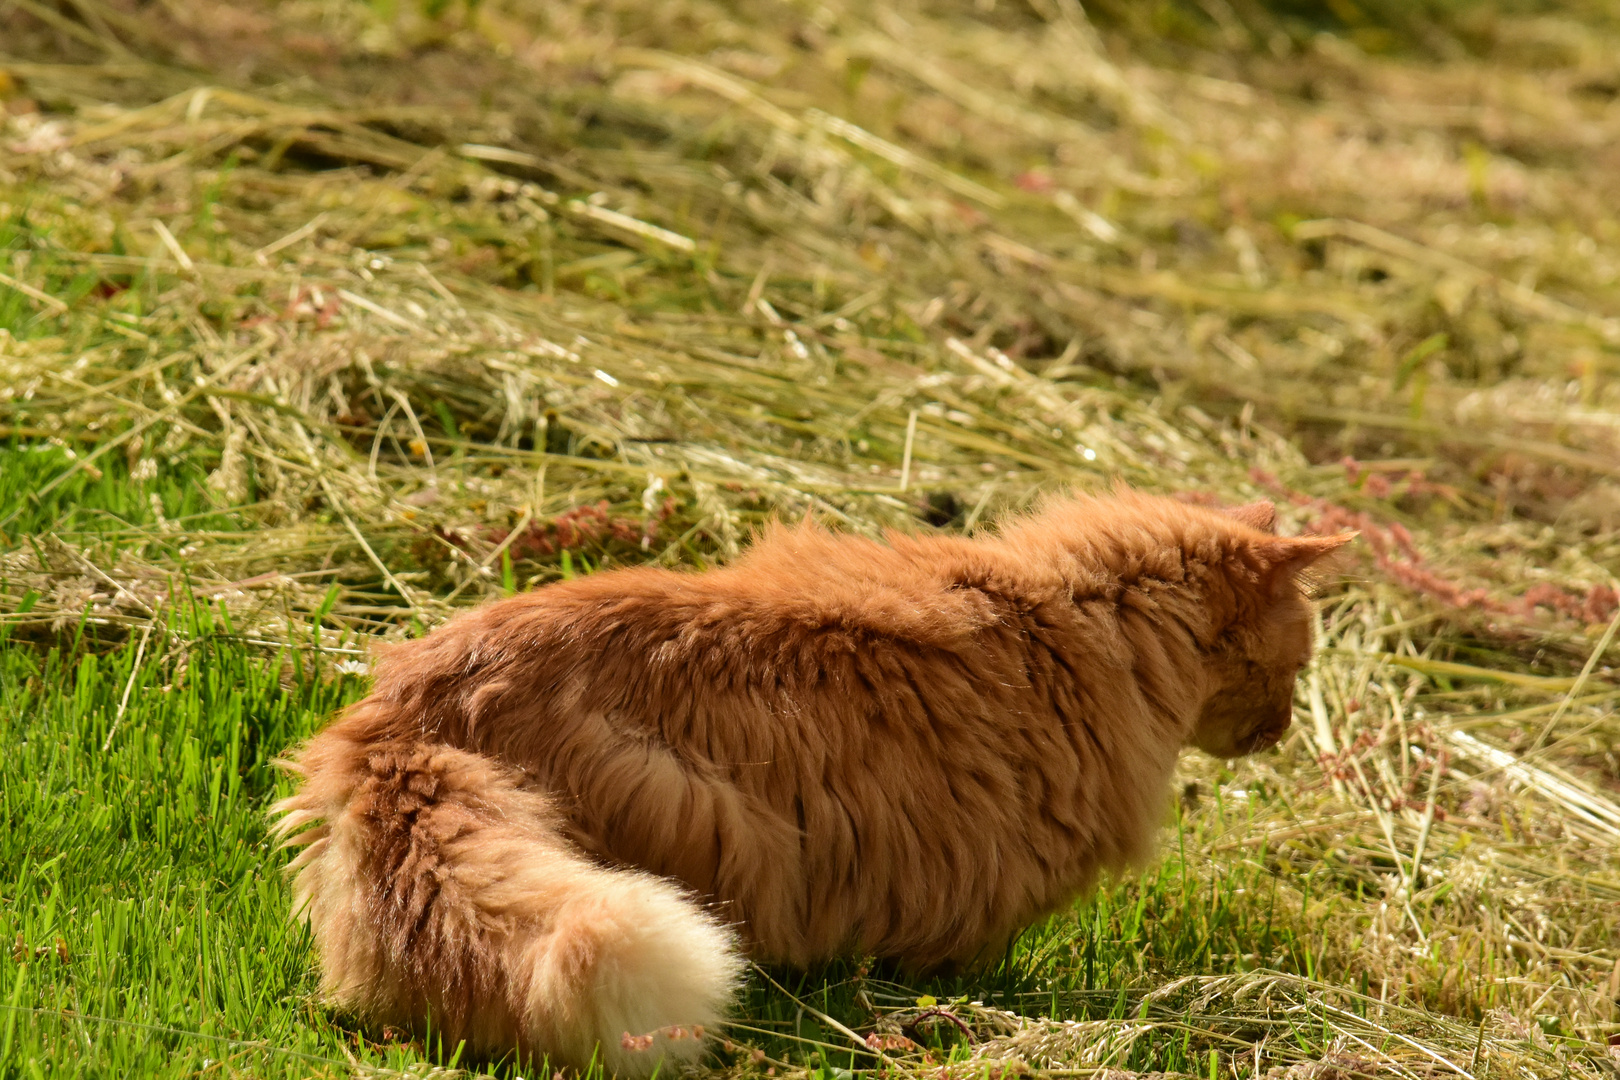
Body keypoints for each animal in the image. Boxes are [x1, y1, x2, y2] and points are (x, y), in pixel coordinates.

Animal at [268, 488, 1354, 1075]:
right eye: (1298, 664)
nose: (1285, 729)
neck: (1078, 614)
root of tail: (412, 702)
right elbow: (965, 957)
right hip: (691, 819)